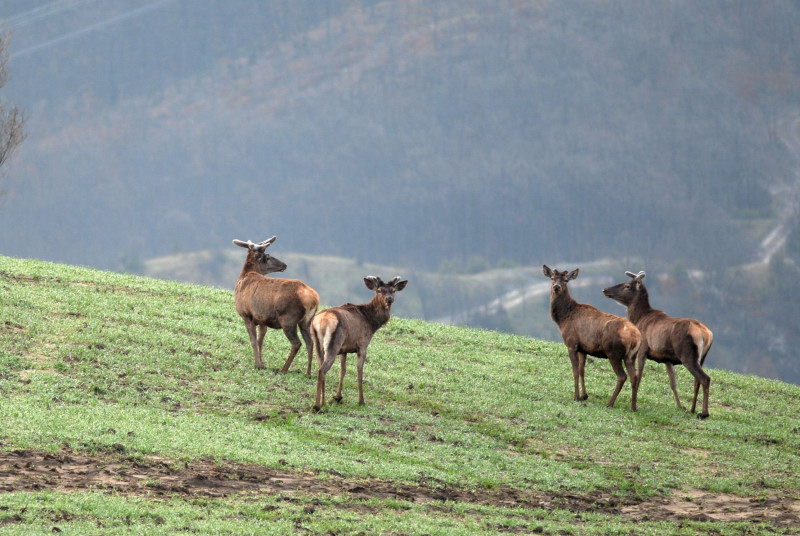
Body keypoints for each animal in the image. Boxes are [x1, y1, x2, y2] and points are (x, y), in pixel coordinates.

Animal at [231, 237, 318, 374]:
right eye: (268, 257)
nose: (284, 265)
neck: (244, 277)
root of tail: (314, 298)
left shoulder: (246, 315)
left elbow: (253, 341)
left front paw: (257, 365)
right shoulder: (262, 320)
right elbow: (260, 341)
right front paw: (261, 363)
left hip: (288, 319)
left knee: (297, 343)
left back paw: (283, 369)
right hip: (306, 321)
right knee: (310, 343)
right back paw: (308, 373)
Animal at [540, 266, 640, 410]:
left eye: (566, 280)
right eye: (552, 278)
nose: (556, 287)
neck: (563, 319)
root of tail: (636, 337)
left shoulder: (571, 343)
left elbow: (575, 371)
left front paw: (576, 397)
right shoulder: (583, 348)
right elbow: (582, 370)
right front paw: (584, 395)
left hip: (613, 353)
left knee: (622, 376)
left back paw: (610, 403)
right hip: (631, 357)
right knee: (634, 376)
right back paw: (633, 407)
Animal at [604, 272, 716, 418]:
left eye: (627, 285)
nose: (605, 289)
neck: (639, 318)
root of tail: (707, 334)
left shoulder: (642, 350)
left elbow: (639, 376)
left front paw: (634, 403)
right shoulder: (667, 359)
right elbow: (673, 383)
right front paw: (680, 406)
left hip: (687, 355)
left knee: (705, 378)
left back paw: (704, 413)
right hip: (702, 358)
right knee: (697, 380)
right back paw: (692, 409)